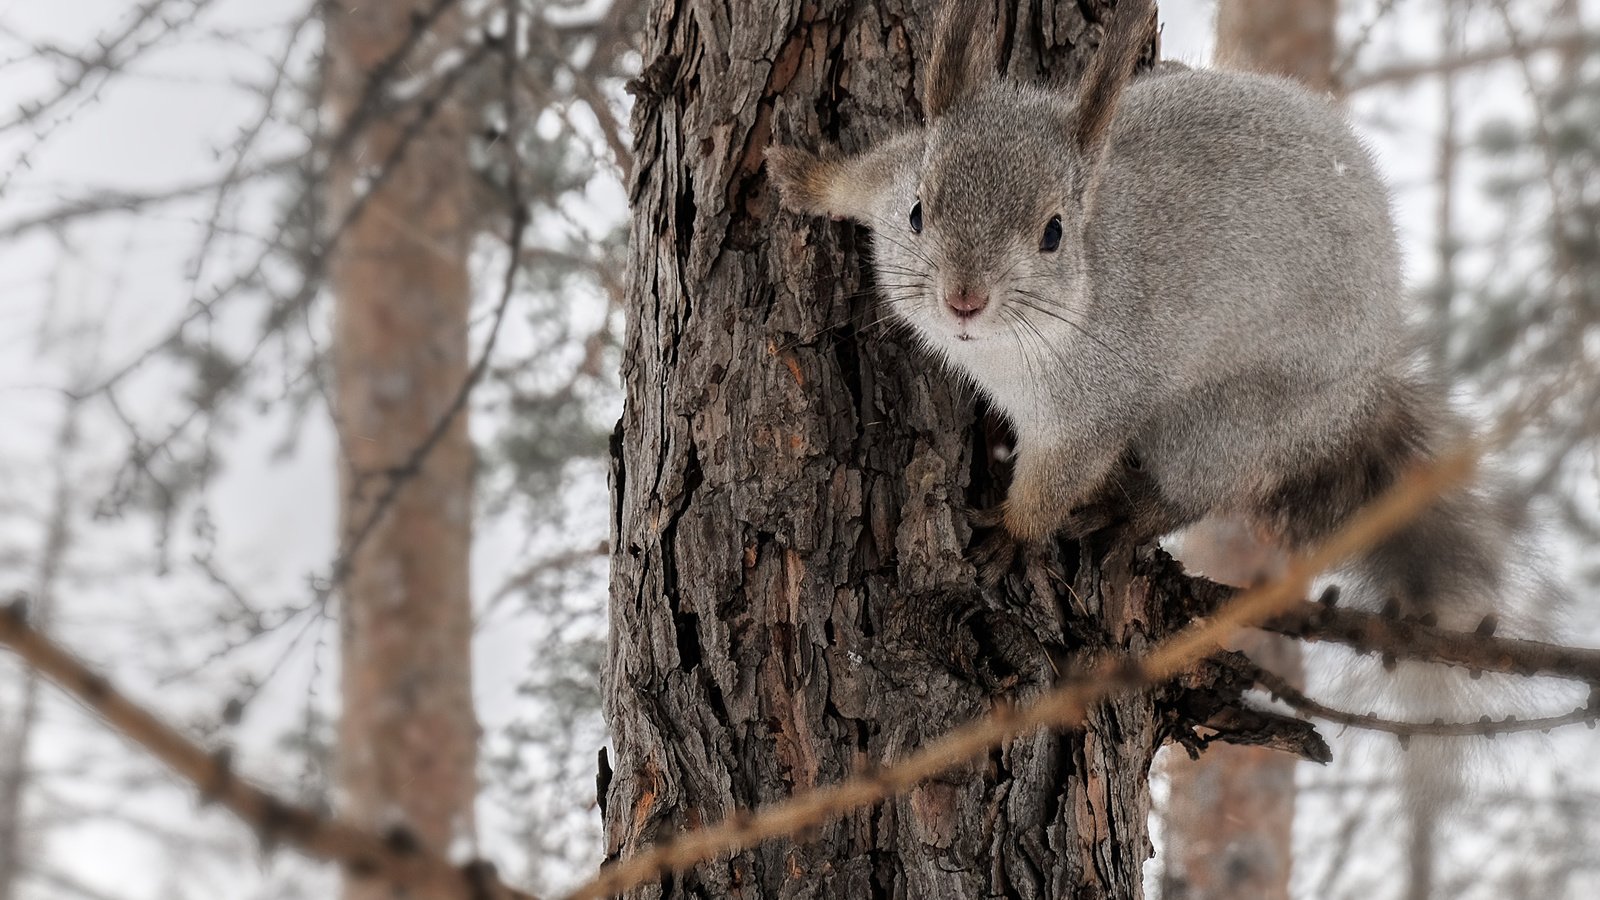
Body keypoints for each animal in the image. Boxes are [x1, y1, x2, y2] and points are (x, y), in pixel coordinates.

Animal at [768, 0, 1555, 807]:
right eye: (920, 211)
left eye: (1053, 234)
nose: (964, 298)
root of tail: (1356, 397)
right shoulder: (895, 173)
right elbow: (866, 176)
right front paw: (806, 176)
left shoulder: (1094, 401)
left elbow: (1057, 477)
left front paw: (1015, 535)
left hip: (1219, 427)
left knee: (1195, 490)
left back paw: (1128, 513)